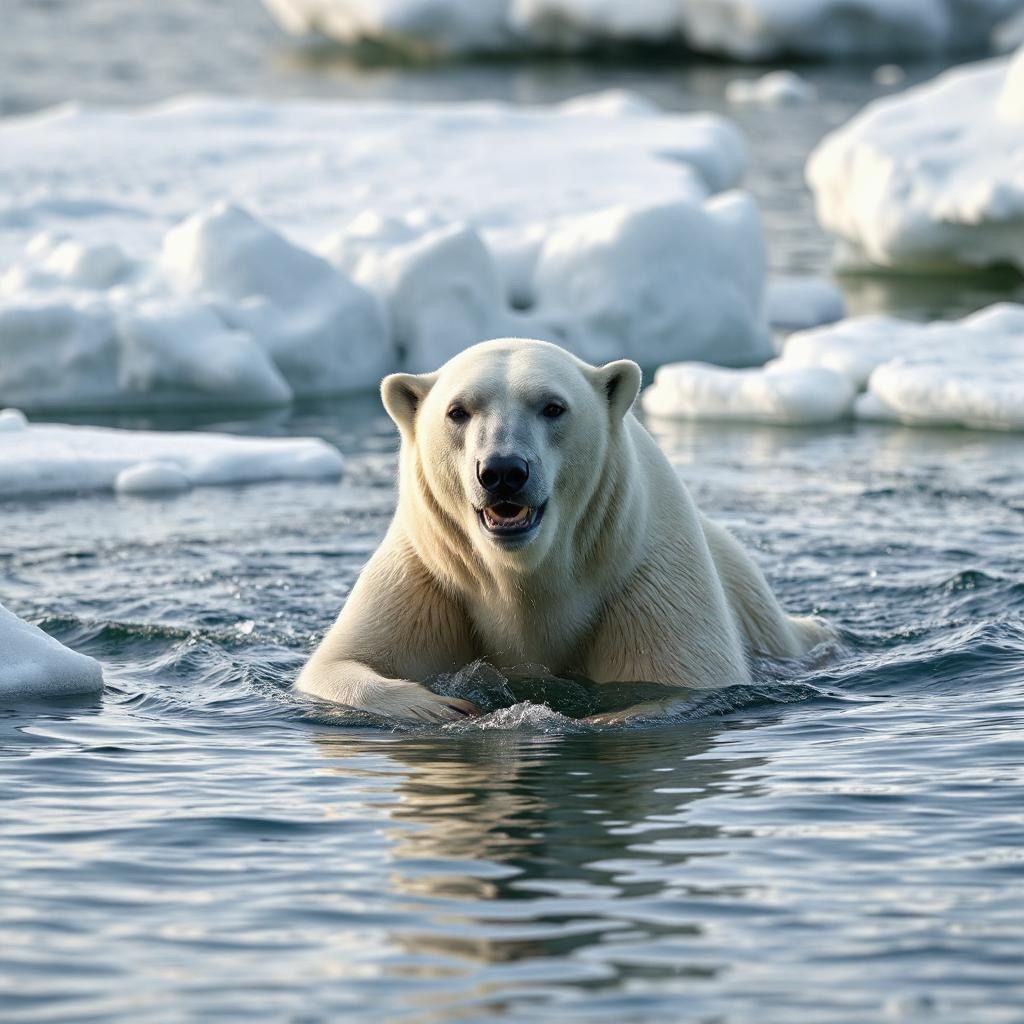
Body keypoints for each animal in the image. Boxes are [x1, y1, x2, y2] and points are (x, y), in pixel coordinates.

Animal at [299, 339, 831, 724]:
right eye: (458, 410)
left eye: (553, 407)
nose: (503, 471)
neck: (527, 575)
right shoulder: (428, 575)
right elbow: (337, 665)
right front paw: (441, 706)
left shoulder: (646, 577)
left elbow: (690, 684)